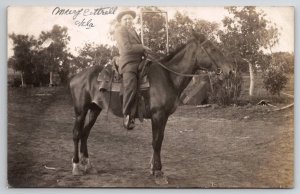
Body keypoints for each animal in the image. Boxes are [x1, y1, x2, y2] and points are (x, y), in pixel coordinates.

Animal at [68, 32, 234, 183]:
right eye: (212, 49)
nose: (230, 71)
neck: (168, 77)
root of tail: (76, 76)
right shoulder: (157, 115)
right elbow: (156, 142)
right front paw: (158, 172)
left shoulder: (164, 117)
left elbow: (159, 140)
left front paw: (154, 169)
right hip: (81, 111)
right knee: (76, 134)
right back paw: (76, 167)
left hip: (95, 109)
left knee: (85, 133)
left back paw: (88, 166)